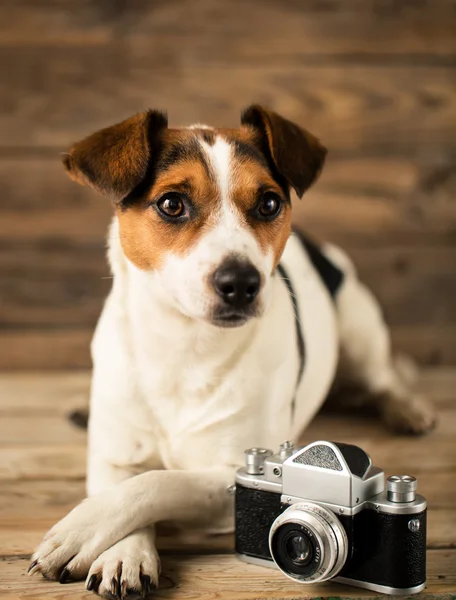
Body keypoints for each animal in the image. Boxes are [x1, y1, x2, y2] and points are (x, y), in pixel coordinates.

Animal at [29, 105, 438, 596]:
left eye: (269, 204)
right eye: (171, 203)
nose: (241, 282)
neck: (184, 347)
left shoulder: (234, 475)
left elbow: (154, 484)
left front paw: (79, 528)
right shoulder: (112, 458)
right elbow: (129, 483)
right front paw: (125, 553)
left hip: (360, 327)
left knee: (384, 378)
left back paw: (407, 407)